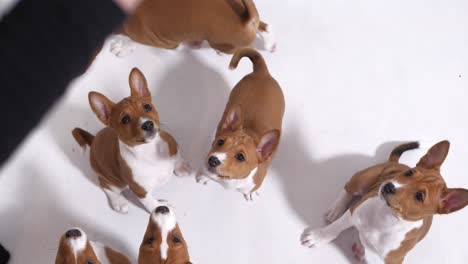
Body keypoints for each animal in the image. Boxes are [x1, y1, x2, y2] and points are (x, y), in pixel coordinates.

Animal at [72, 67, 190, 212]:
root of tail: (93, 140)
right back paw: (118, 201)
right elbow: (151, 203)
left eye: (147, 107)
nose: (148, 124)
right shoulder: (140, 190)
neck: (149, 150)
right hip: (113, 181)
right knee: (105, 185)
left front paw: (181, 167)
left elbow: (177, 156)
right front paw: (160, 207)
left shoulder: (172, 145)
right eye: (125, 120)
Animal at [111, 0, 276, 56]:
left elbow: (132, 40)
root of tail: (246, 19)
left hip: (220, 43)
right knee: (264, 26)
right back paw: (270, 44)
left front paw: (120, 47)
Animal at [197, 48, 286, 200]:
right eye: (220, 142)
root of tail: (262, 73)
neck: (229, 181)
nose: (213, 160)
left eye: (240, 157)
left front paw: (251, 193)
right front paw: (204, 177)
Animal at [300, 141, 468, 262]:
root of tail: (395, 163)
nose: (388, 186)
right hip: (363, 178)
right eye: (409, 173)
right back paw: (335, 210)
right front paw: (318, 237)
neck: (384, 218)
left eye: (419, 196)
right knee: (347, 190)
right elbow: (335, 228)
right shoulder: (354, 211)